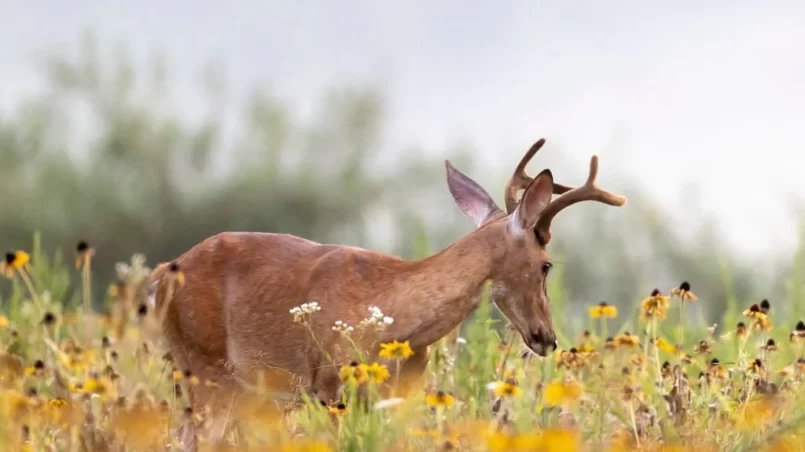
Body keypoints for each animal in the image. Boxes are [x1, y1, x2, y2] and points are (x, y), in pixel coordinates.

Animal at [146, 138, 628, 442]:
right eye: (546, 265)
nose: (547, 338)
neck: (394, 314)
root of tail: (160, 274)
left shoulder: (399, 392)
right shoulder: (329, 383)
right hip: (206, 368)